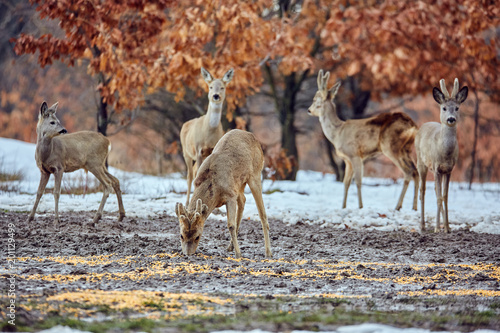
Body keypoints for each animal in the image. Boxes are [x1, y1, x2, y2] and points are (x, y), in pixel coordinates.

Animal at [174, 128, 272, 258]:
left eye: (197, 237)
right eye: (181, 236)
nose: (187, 254)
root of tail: (253, 137)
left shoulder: (230, 195)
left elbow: (230, 225)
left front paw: (238, 254)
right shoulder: (232, 192)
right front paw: (235, 250)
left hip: (255, 174)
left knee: (262, 213)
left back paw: (268, 252)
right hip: (239, 184)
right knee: (243, 200)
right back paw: (230, 246)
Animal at [180, 66, 234, 205]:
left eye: (222, 87)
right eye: (210, 87)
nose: (216, 95)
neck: (208, 134)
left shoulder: (212, 150)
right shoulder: (198, 149)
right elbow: (196, 175)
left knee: (194, 171)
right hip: (186, 153)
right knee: (189, 175)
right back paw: (187, 202)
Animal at [308, 70, 418, 210]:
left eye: (315, 100)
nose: (309, 110)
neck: (337, 133)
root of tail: (413, 125)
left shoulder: (355, 154)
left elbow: (358, 181)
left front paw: (360, 206)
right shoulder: (347, 159)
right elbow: (346, 182)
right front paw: (343, 207)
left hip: (391, 147)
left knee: (408, 171)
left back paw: (398, 206)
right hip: (406, 149)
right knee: (416, 171)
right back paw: (414, 207)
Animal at [414, 78, 468, 232]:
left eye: (457, 108)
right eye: (444, 108)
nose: (451, 119)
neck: (445, 153)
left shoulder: (448, 170)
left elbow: (445, 196)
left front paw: (448, 228)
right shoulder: (437, 167)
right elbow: (438, 197)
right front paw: (437, 228)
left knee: (435, 190)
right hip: (421, 162)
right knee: (422, 191)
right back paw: (422, 226)